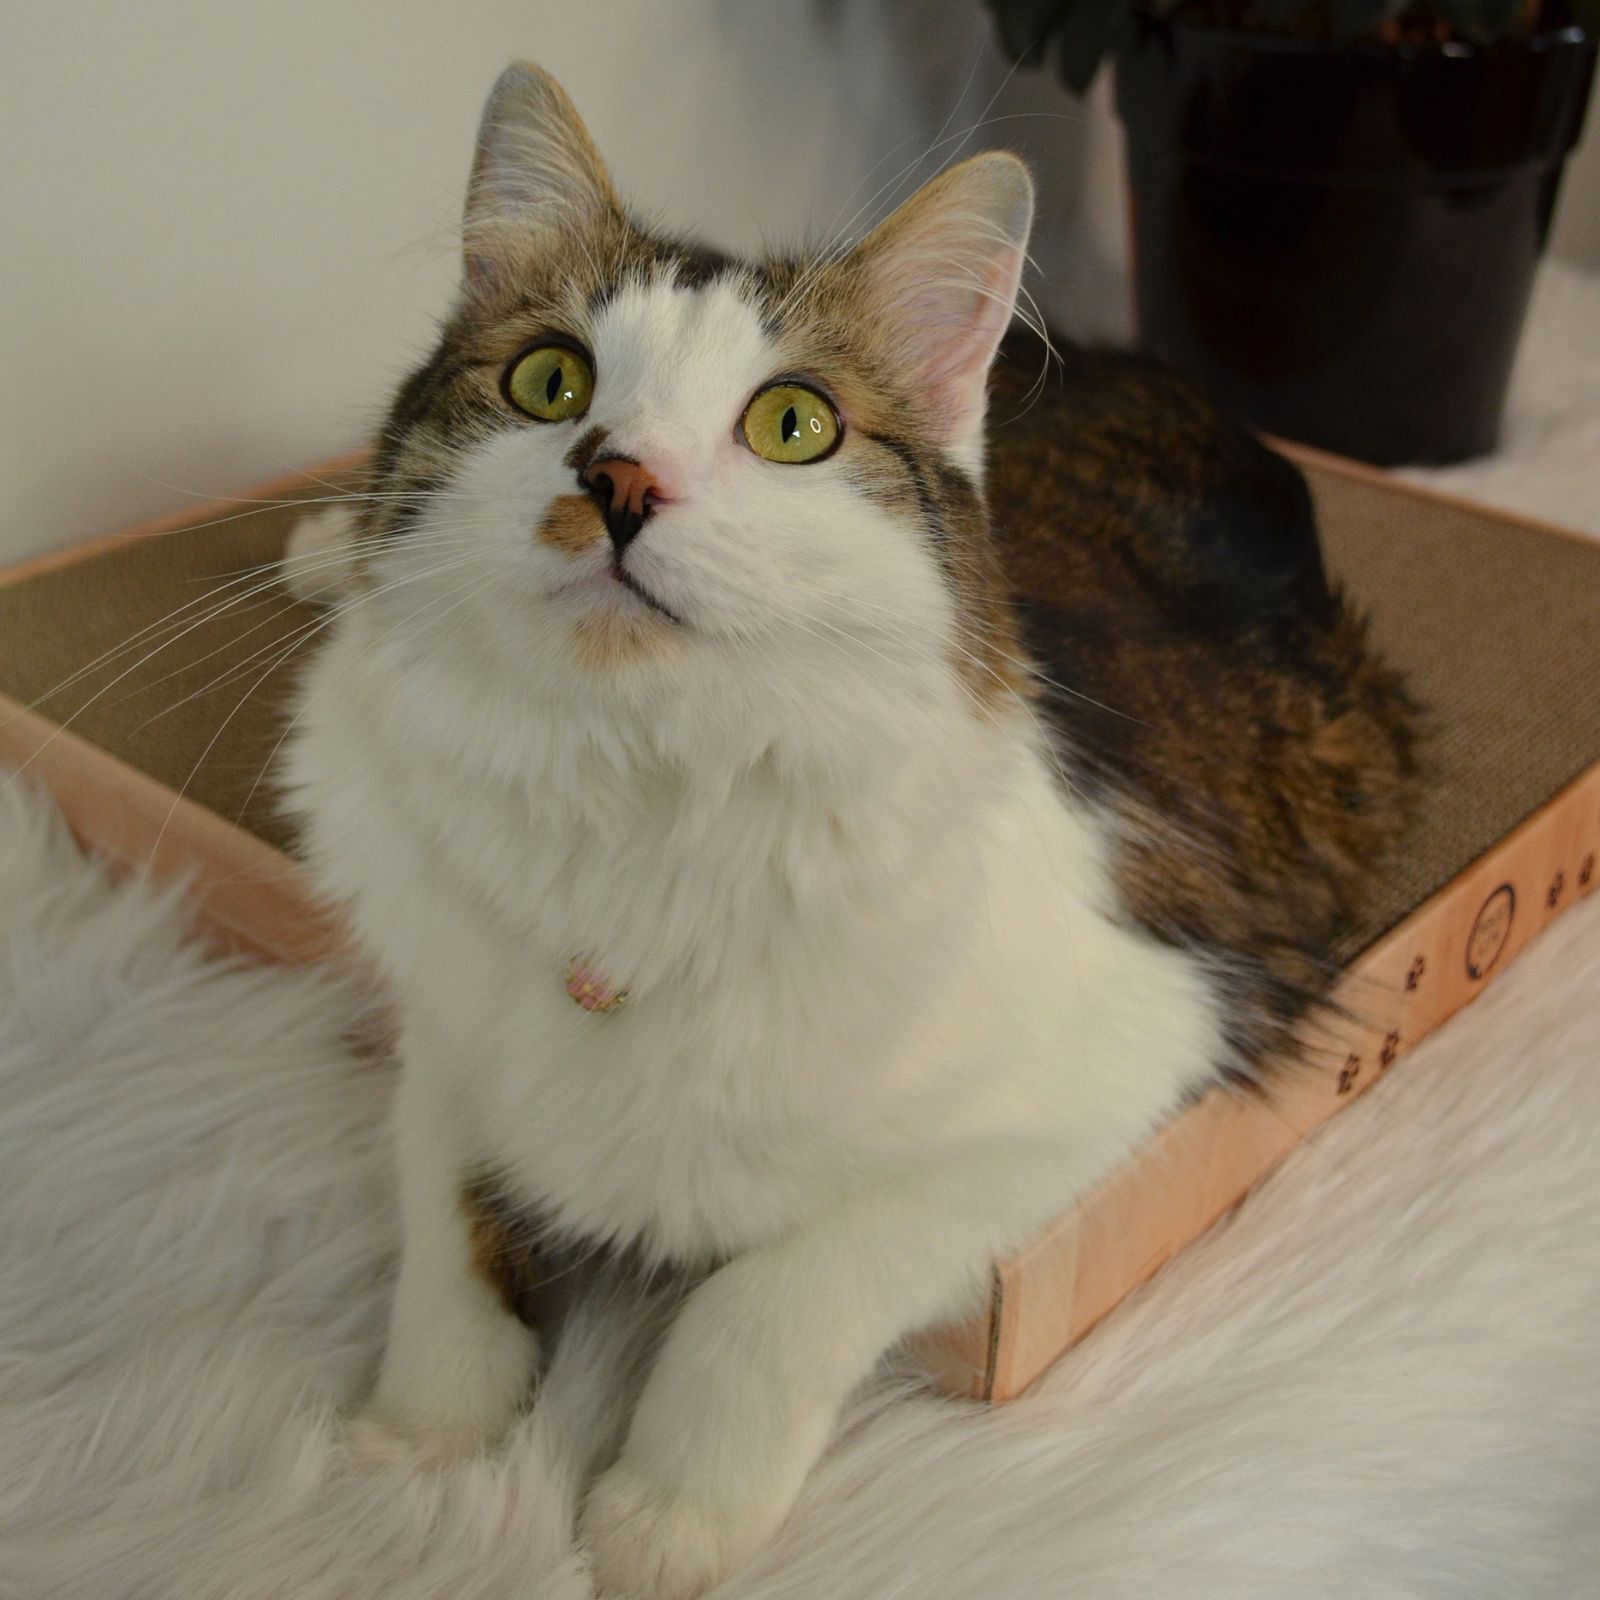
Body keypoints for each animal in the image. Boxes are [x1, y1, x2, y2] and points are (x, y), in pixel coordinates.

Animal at [281, 62, 1420, 1600]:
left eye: (793, 425)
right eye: (549, 382)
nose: (616, 481)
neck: (637, 793)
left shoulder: (1125, 1063)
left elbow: (769, 1296)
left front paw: (665, 1517)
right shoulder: (451, 1033)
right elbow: (446, 1240)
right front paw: (413, 1446)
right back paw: (323, 549)